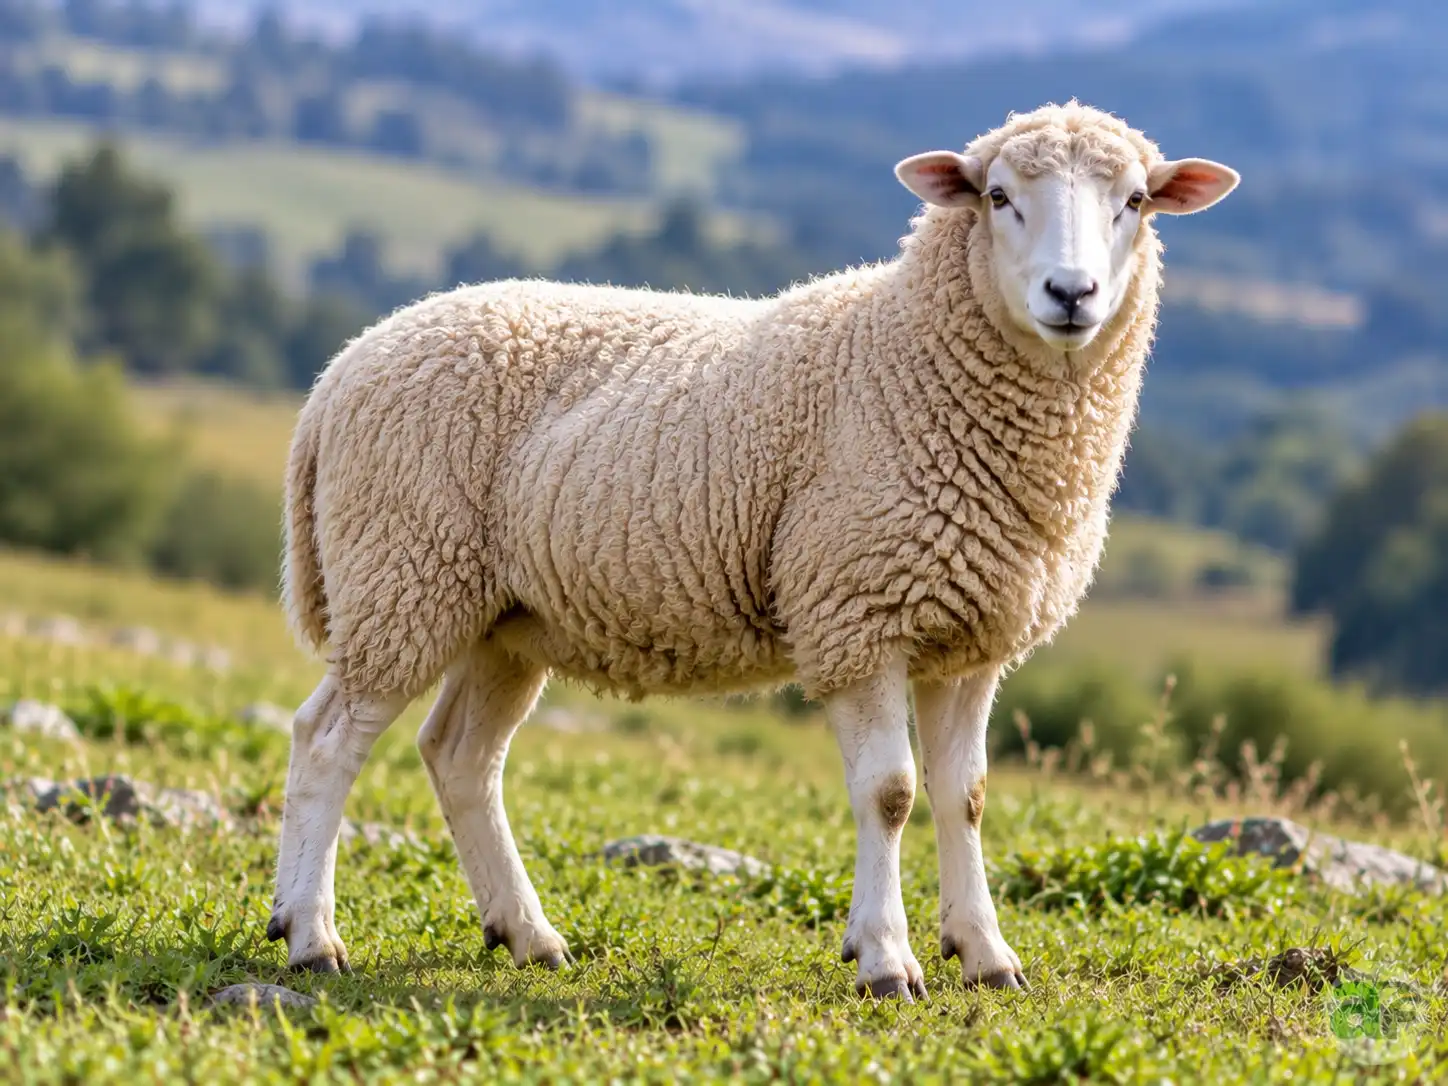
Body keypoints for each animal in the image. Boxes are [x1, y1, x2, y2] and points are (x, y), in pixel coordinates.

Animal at [267, 100, 1239, 999]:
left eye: (1136, 200)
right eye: (998, 196)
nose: (1071, 295)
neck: (910, 354)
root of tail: (341, 370)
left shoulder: (971, 638)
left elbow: (964, 797)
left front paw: (986, 954)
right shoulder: (857, 613)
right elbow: (890, 793)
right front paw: (885, 960)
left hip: (502, 617)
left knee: (461, 757)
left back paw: (528, 934)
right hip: (402, 572)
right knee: (326, 740)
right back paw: (311, 935)